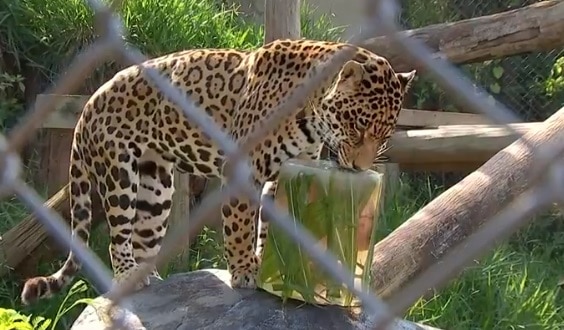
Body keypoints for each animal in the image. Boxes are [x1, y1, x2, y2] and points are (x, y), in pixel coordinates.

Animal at [19, 38, 414, 304]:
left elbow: (271, 223)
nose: (359, 167)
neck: (312, 113)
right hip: (119, 176)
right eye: (358, 126)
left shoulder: (284, 173)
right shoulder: (245, 169)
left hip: (155, 186)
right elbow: (240, 226)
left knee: (144, 235)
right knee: (119, 237)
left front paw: (270, 264)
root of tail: (88, 103)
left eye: (384, 134)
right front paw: (244, 271)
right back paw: (129, 274)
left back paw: (154, 279)